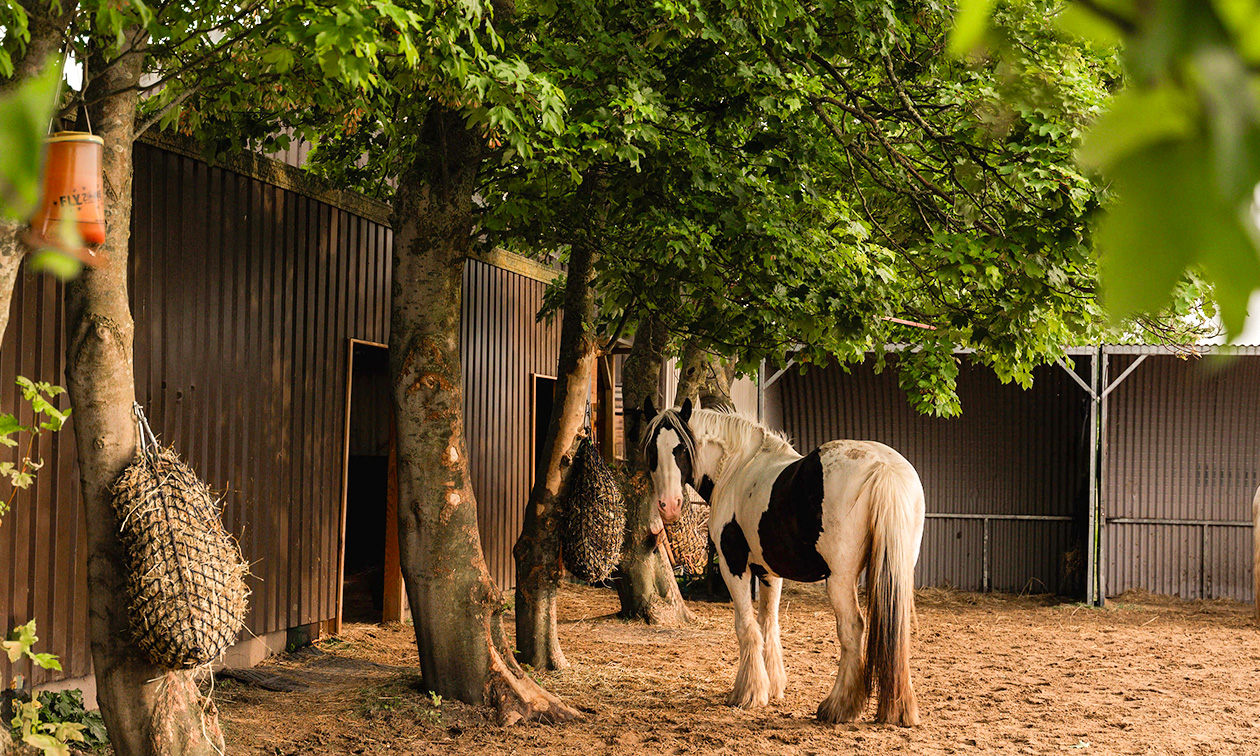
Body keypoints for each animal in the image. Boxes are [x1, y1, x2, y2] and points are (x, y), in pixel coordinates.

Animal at [641, 397, 926, 726]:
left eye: (682, 449)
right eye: (652, 451)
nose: (669, 506)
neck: (738, 466)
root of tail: (884, 467)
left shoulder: (733, 566)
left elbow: (746, 626)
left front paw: (748, 693)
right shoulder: (769, 572)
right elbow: (769, 624)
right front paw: (773, 685)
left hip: (840, 579)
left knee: (852, 629)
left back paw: (838, 707)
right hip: (898, 571)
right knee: (897, 631)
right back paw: (899, 709)